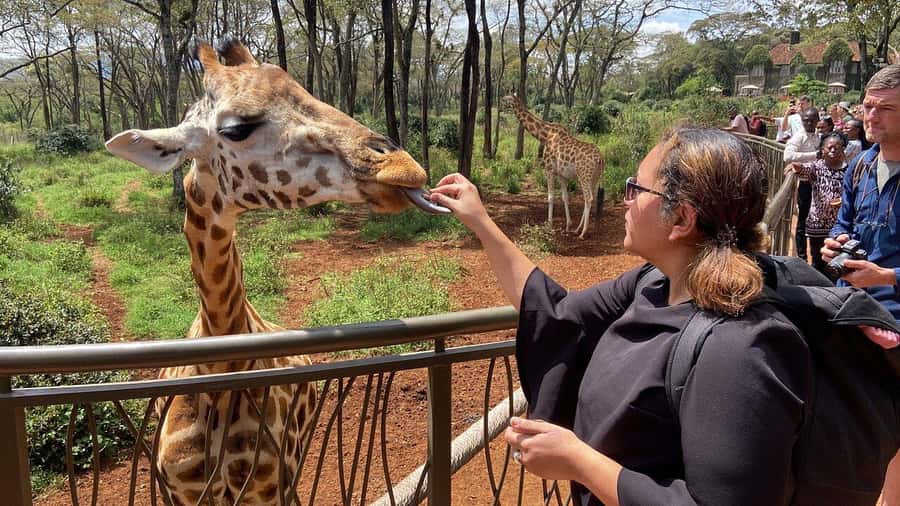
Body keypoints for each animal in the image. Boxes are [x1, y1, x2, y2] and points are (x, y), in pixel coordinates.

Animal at [501, 95, 605, 239]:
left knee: (588, 198)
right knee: (591, 198)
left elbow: (550, 197)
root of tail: (599, 159)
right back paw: (577, 229)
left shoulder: (548, 169)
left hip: (584, 175)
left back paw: (583, 232)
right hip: (594, 177)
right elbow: (565, 198)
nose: (500, 107)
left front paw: (548, 225)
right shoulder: (561, 174)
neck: (545, 135)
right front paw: (568, 225)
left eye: (505, 100)